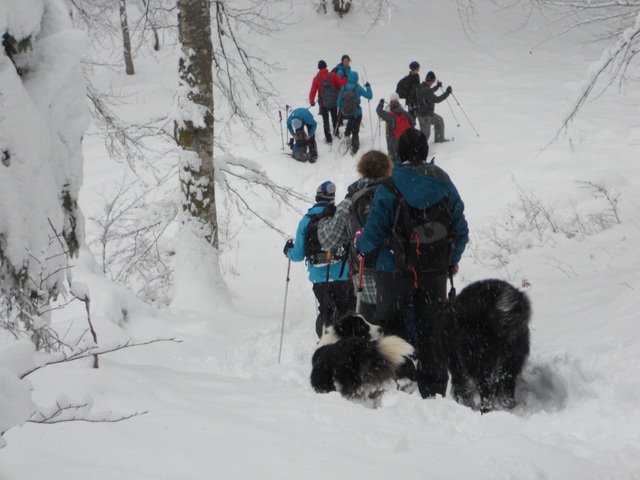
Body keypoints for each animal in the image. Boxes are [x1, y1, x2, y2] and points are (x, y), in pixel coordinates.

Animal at [444, 280, 528, 414]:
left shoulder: (457, 369)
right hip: (512, 359)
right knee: (507, 388)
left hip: (478, 362)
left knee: (485, 390)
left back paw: (485, 410)